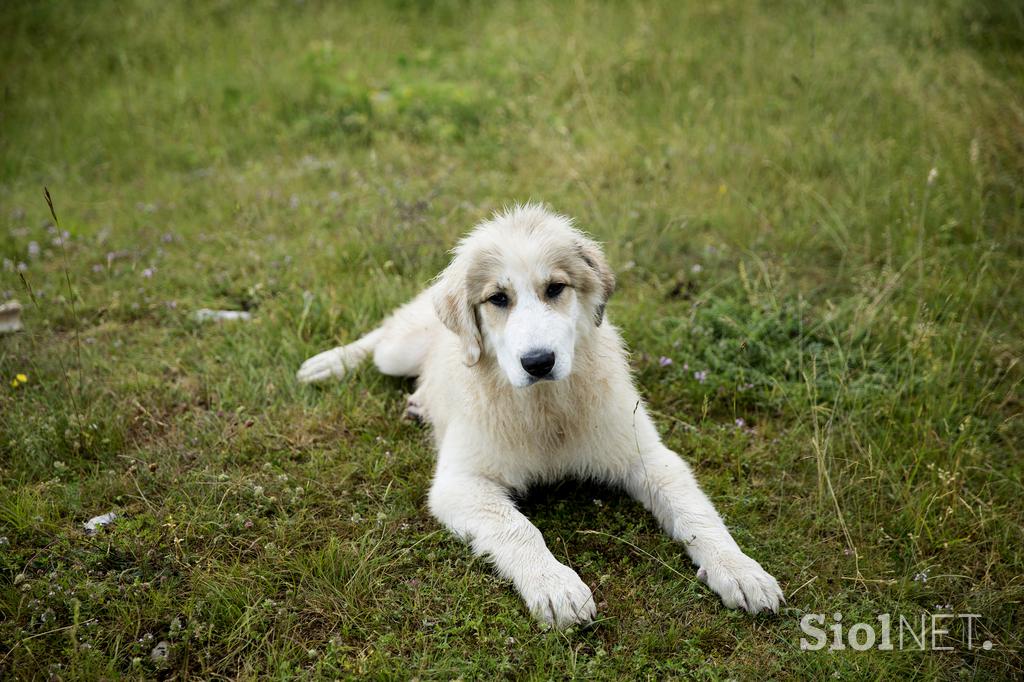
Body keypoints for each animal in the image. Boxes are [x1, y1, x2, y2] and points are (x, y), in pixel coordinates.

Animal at [296, 202, 782, 626]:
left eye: (555, 289)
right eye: (497, 298)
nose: (538, 362)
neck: (545, 405)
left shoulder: (650, 458)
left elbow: (697, 515)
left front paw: (739, 570)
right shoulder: (460, 484)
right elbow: (519, 529)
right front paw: (554, 586)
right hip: (397, 352)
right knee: (380, 337)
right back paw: (327, 364)